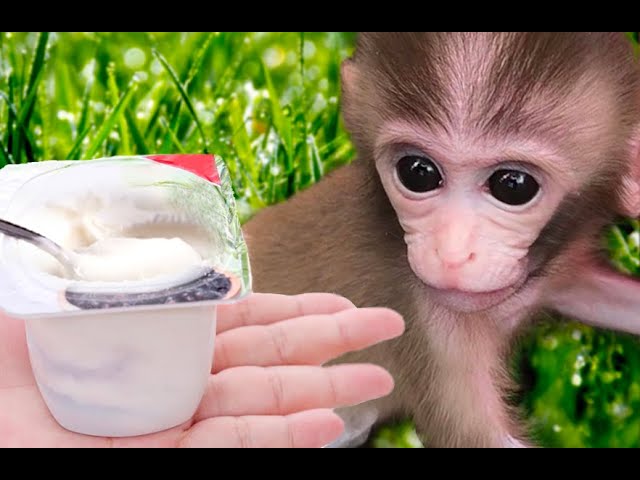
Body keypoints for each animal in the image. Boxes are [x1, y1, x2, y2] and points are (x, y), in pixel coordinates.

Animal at [242, 32, 640, 446]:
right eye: (418, 173)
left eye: (513, 186)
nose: (451, 253)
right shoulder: (423, 318)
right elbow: (474, 436)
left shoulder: (560, 266)